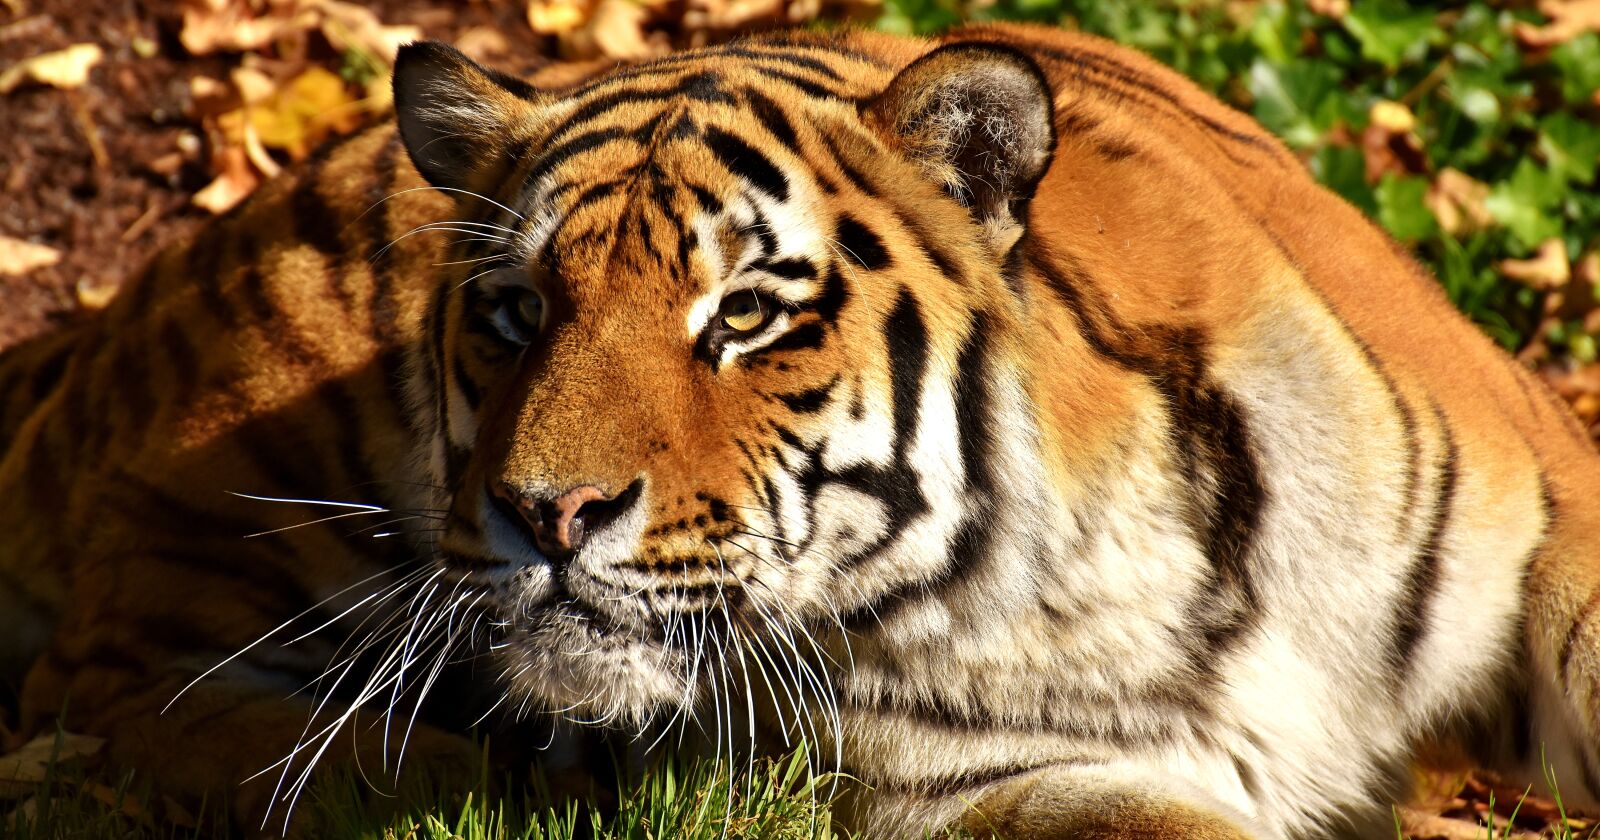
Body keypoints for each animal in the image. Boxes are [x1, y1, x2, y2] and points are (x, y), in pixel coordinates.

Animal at [4, 19, 1600, 839]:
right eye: (517, 310)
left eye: (747, 316)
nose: (547, 512)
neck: (1107, 557)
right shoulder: (1015, 783)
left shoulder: (1550, 522)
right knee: (127, 722)